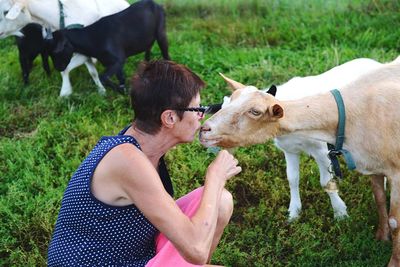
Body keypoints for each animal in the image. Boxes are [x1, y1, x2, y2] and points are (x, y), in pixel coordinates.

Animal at [200, 57, 400, 266]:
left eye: (255, 111)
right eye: (225, 106)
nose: (204, 130)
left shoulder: (322, 151)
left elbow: (326, 182)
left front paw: (340, 213)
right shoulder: (289, 150)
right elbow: (292, 179)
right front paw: (293, 213)